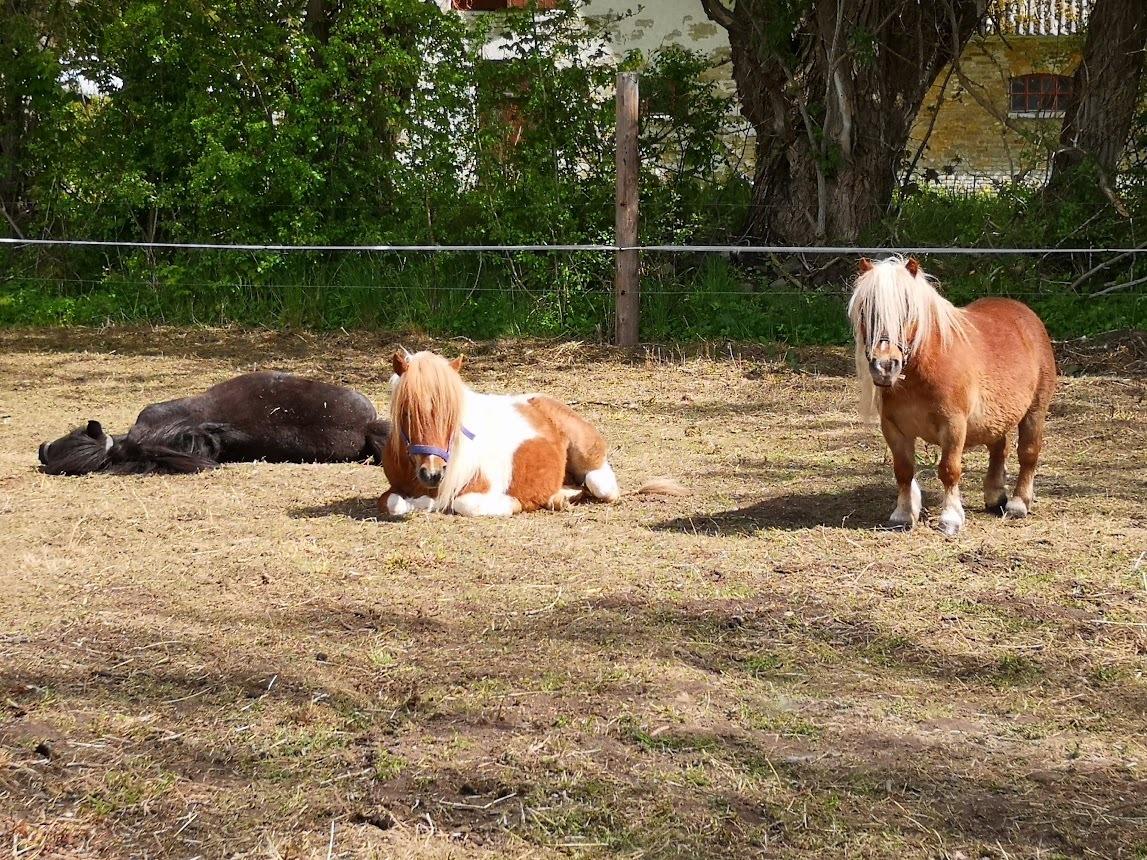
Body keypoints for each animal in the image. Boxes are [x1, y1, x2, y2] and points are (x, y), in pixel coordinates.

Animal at [380, 350, 623, 518]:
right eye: (406, 411)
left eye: (452, 413)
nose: (432, 473)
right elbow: (392, 502)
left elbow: (463, 503)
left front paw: (513, 504)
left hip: (593, 466)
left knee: (600, 484)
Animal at [844, 255, 1055, 536]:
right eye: (865, 311)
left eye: (908, 309)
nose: (885, 366)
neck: (921, 370)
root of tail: (1026, 314)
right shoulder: (893, 427)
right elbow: (903, 470)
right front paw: (903, 515)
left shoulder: (953, 425)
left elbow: (948, 470)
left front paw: (951, 519)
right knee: (999, 449)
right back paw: (995, 496)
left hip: (1035, 410)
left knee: (1028, 453)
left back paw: (1018, 504)